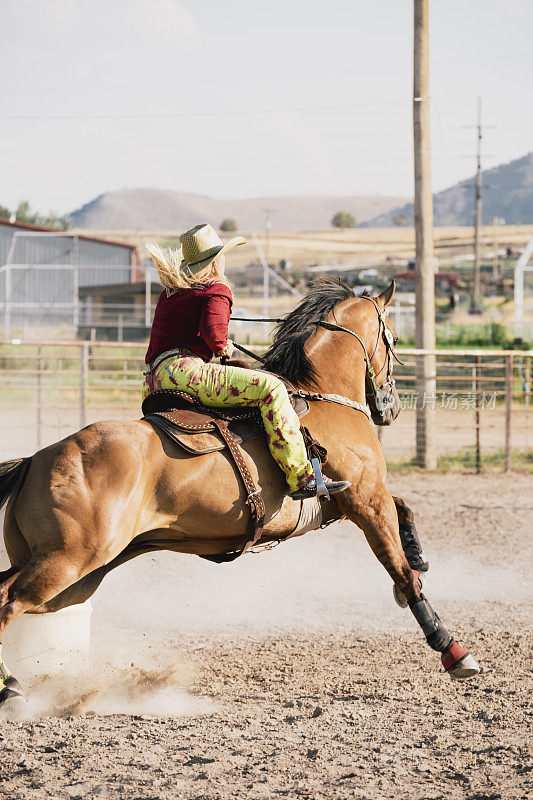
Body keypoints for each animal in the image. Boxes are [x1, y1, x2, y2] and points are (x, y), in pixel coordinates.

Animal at [0, 278, 478, 708]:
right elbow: (398, 568)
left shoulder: (353, 500)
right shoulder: (365, 500)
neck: (322, 398)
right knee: (7, 603)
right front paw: (453, 650)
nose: (391, 407)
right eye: (392, 337)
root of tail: (37, 459)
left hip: (67, 572)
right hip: (68, 561)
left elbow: (405, 514)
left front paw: (418, 556)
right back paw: (10, 687)